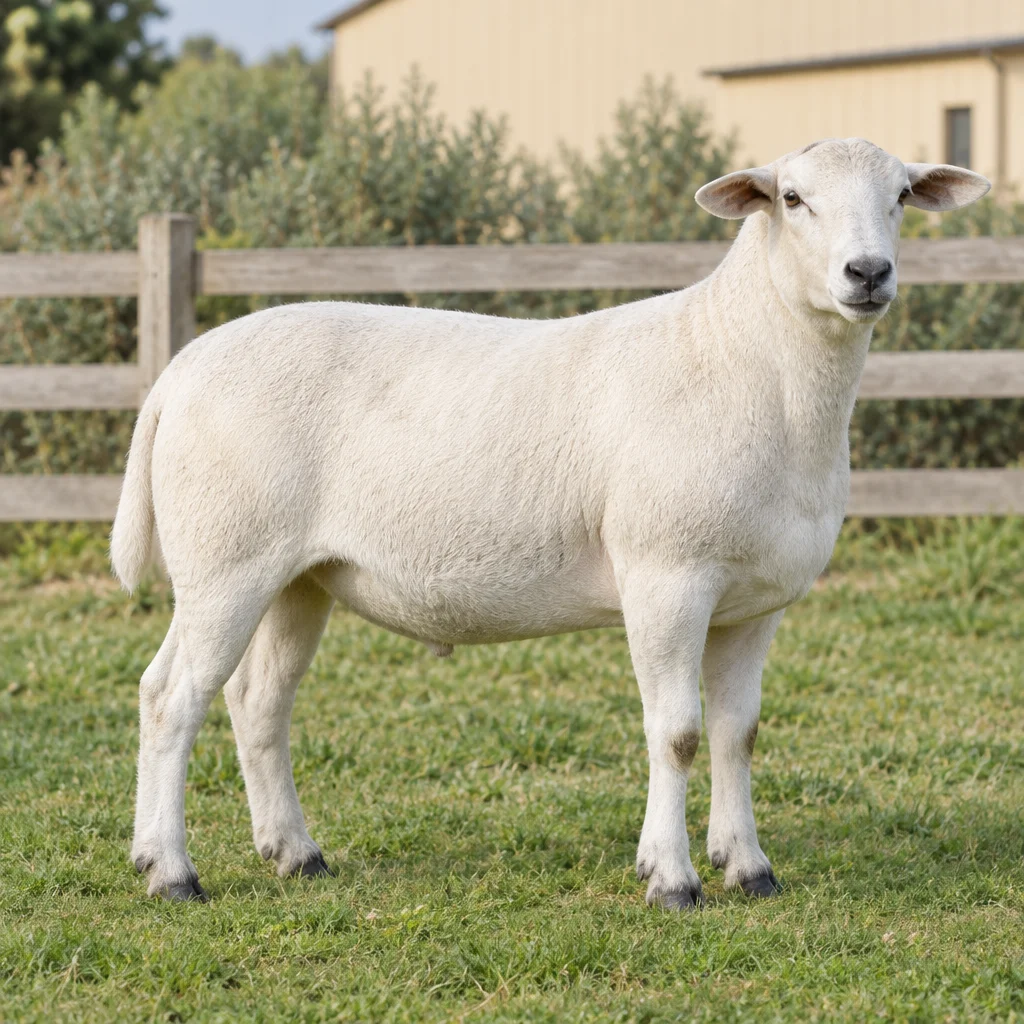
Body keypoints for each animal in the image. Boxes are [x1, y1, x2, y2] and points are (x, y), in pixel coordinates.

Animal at [111, 138, 989, 906]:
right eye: (794, 199)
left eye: (901, 196)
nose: (867, 273)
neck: (745, 364)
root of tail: (178, 373)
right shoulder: (666, 576)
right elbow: (677, 733)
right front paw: (673, 880)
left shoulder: (755, 601)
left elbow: (738, 734)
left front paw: (749, 868)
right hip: (226, 560)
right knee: (171, 698)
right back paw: (171, 871)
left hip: (299, 576)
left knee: (257, 702)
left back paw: (292, 853)